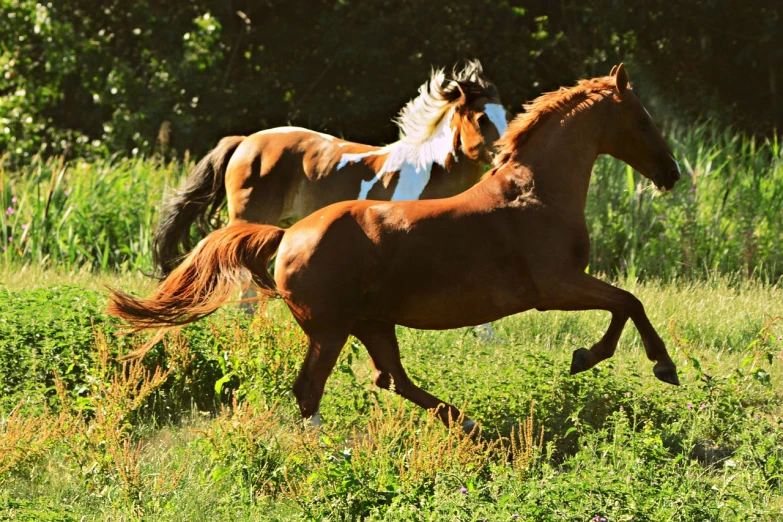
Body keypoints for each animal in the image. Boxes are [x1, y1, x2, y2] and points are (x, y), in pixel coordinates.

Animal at [152, 59, 508, 274]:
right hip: (248, 219)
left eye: (505, 114)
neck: (428, 173)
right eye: (482, 118)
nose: (505, 154)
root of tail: (245, 142)